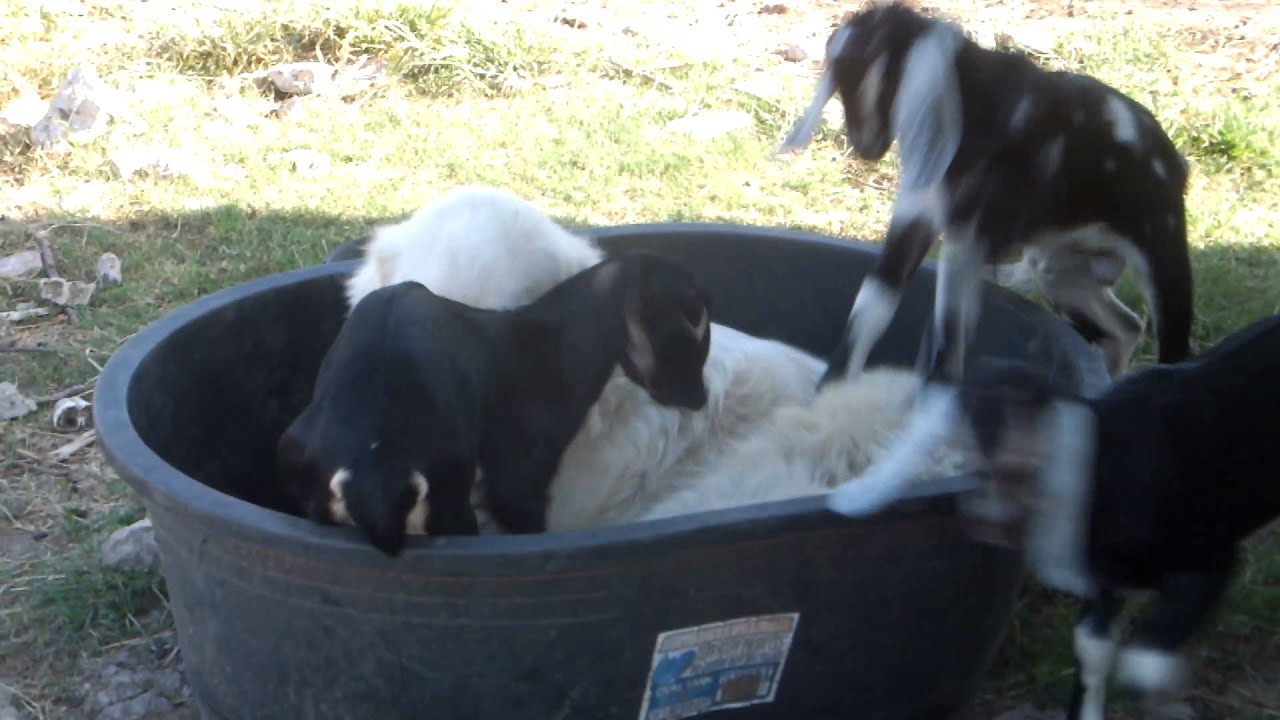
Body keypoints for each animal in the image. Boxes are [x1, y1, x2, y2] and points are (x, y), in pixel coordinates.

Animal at [277, 252, 713, 556]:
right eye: (693, 323)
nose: (699, 398)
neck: (546, 341)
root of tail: (376, 466)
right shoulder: (519, 478)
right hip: (452, 502)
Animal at [776, 1, 1194, 384]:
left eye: (857, 77)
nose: (863, 149)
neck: (967, 95)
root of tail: (1173, 161)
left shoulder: (965, 243)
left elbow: (946, 344)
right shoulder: (919, 226)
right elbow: (868, 318)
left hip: (1162, 263)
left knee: (1171, 350)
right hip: (1058, 270)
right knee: (1125, 327)